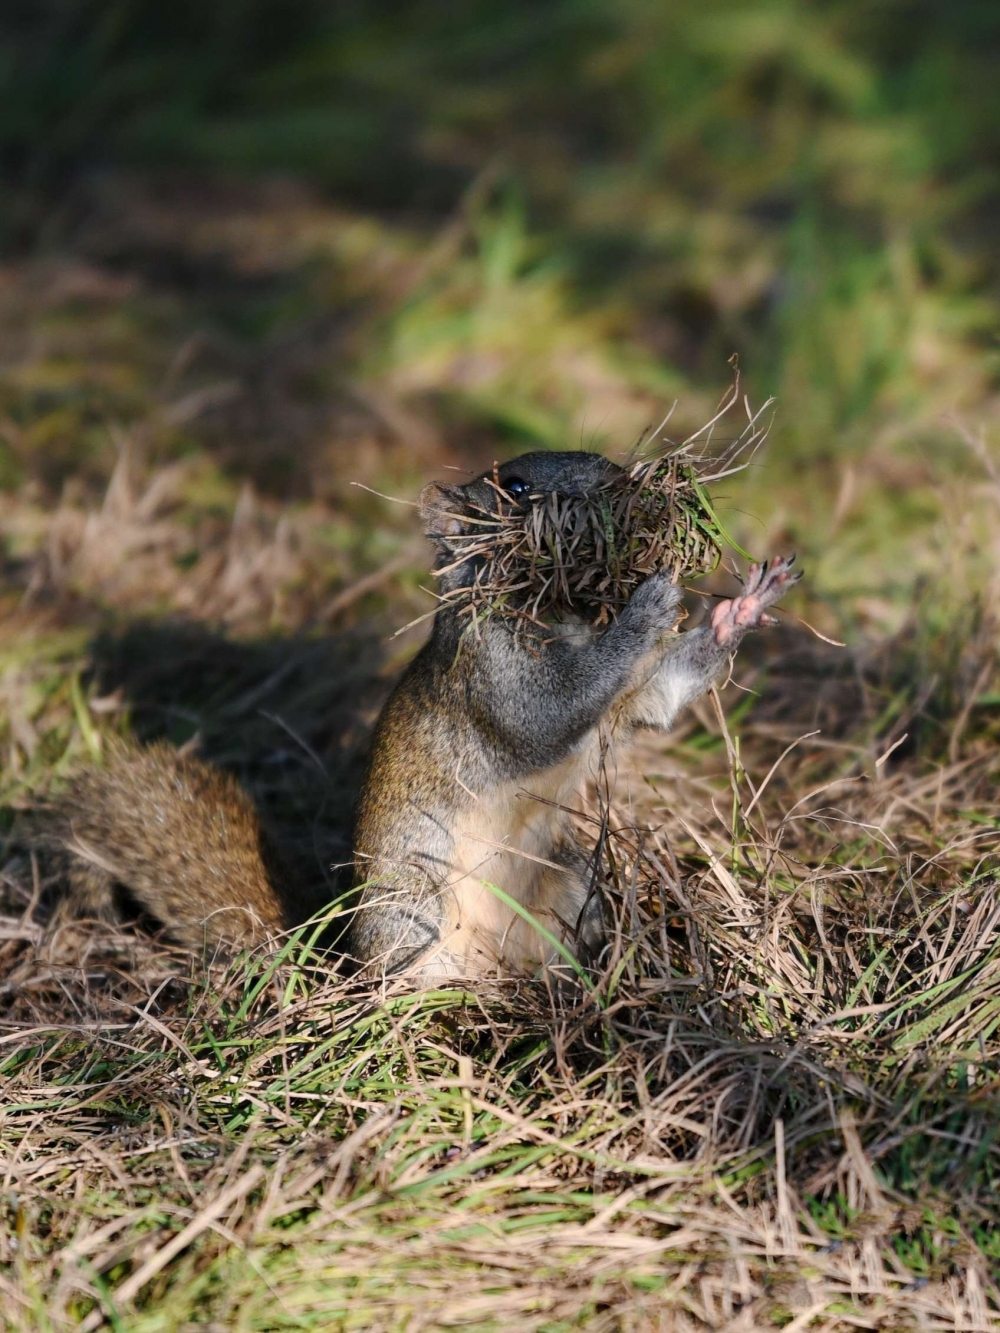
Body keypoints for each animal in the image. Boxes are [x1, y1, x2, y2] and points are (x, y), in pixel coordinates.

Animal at [43, 453, 805, 986]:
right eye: (515, 487)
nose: (622, 484)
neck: (560, 618)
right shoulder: (490, 674)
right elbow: (546, 716)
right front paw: (650, 598)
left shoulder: (625, 697)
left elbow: (656, 698)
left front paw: (743, 604)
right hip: (413, 901)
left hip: (566, 883)